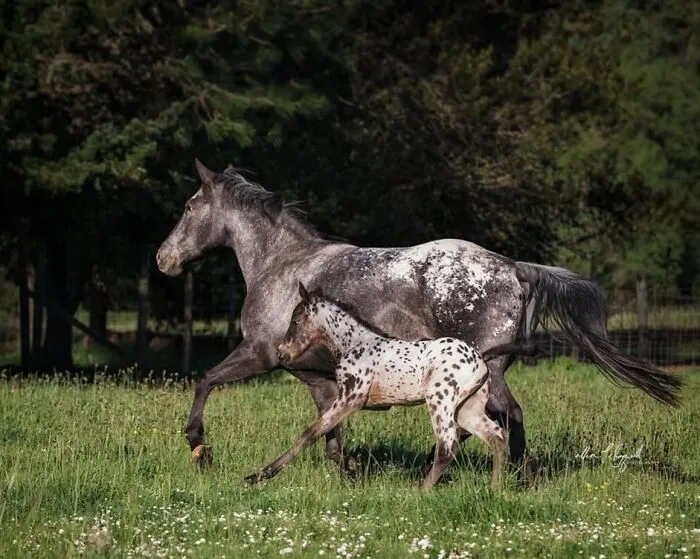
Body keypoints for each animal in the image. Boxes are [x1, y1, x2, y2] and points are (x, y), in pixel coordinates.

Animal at [246, 282, 512, 490]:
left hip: (440, 399)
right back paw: (495, 489)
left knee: (448, 445)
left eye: (295, 321)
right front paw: (353, 470)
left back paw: (420, 492)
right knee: (497, 436)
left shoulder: (351, 399)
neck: (354, 344)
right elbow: (327, 435)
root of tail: (479, 360)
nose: (281, 354)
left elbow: (310, 433)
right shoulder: (342, 399)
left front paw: (257, 476)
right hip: (467, 408)